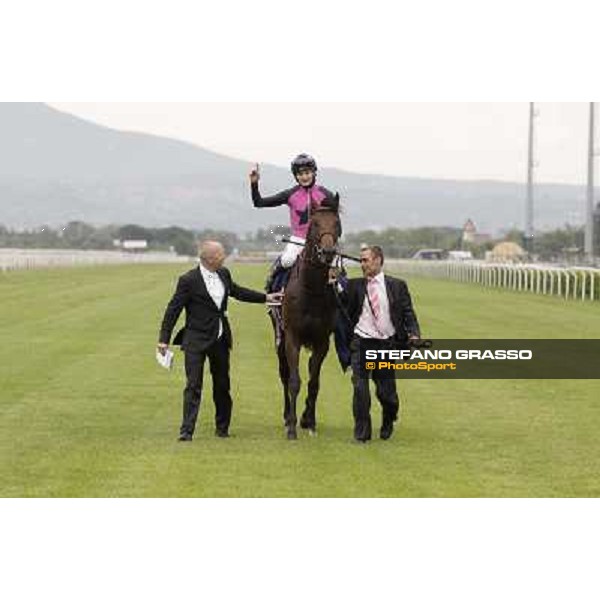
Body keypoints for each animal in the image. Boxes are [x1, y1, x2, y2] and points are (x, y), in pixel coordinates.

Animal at [274, 195, 340, 438]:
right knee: (284, 373)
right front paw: (292, 426)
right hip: (279, 336)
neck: (311, 290)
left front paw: (309, 421)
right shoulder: (292, 336)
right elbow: (294, 380)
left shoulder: (322, 340)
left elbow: (314, 382)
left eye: (337, 223)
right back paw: (286, 417)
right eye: (314, 224)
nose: (327, 251)